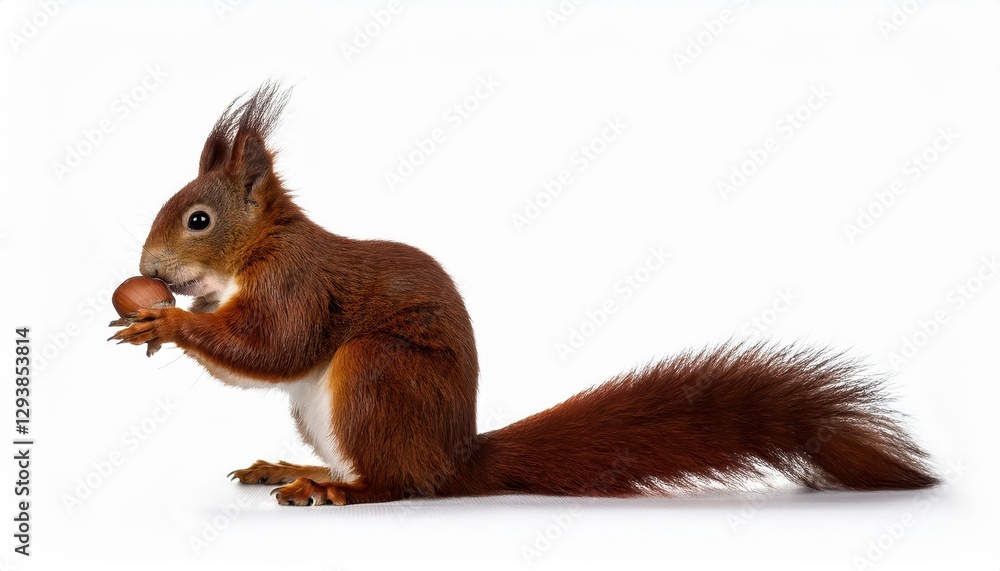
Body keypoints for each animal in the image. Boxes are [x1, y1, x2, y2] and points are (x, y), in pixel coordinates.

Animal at [110, 83, 938, 506]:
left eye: (198, 218)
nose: (147, 265)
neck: (255, 254)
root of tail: (456, 458)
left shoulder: (299, 283)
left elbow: (276, 345)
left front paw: (164, 321)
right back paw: (296, 469)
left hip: (379, 373)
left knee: (400, 485)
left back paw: (339, 490)